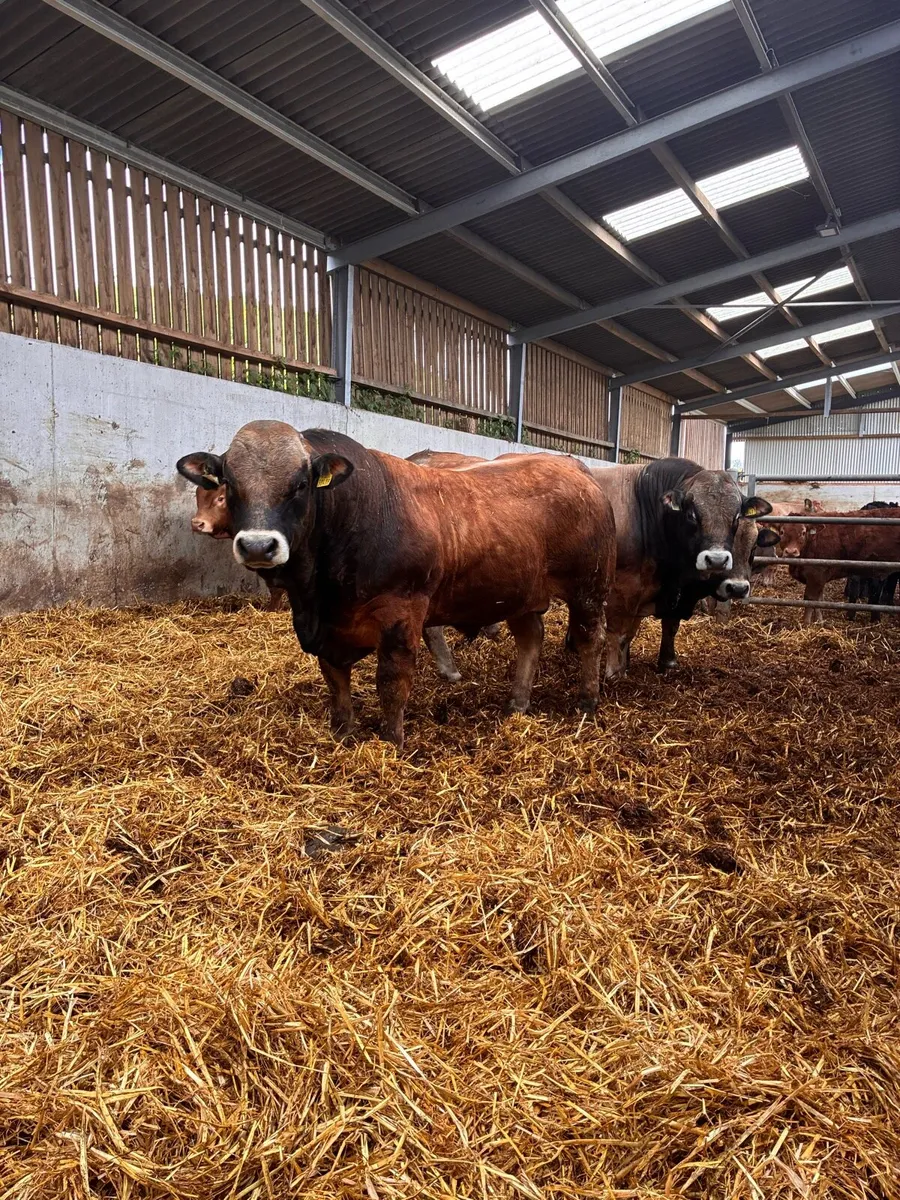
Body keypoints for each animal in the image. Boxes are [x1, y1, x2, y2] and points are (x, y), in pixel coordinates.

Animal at [588, 458, 771, 677]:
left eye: (736, 517)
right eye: (691, 514)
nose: (737, 587)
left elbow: (667, 625)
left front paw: (666, 662)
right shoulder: (622, 589)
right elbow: (618, 633)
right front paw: (615, 673)